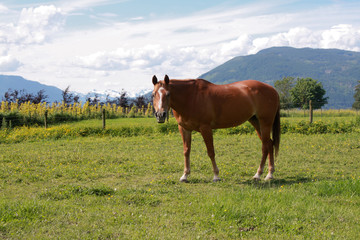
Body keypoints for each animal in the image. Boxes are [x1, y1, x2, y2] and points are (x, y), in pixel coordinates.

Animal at [150, 75, 280, 182]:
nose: (160, 115)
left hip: (265, 123)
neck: (191, 97)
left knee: (265, 147)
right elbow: (186, 151)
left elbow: (211, 152)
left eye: (168, 94)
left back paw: (259, 174)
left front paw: (216, 176)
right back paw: (270, 174)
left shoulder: (205, 128)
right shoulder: (184, 129)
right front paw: (185, 175)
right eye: (153, 94)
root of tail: (272, 89)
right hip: (255, 121)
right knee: (269, 144)